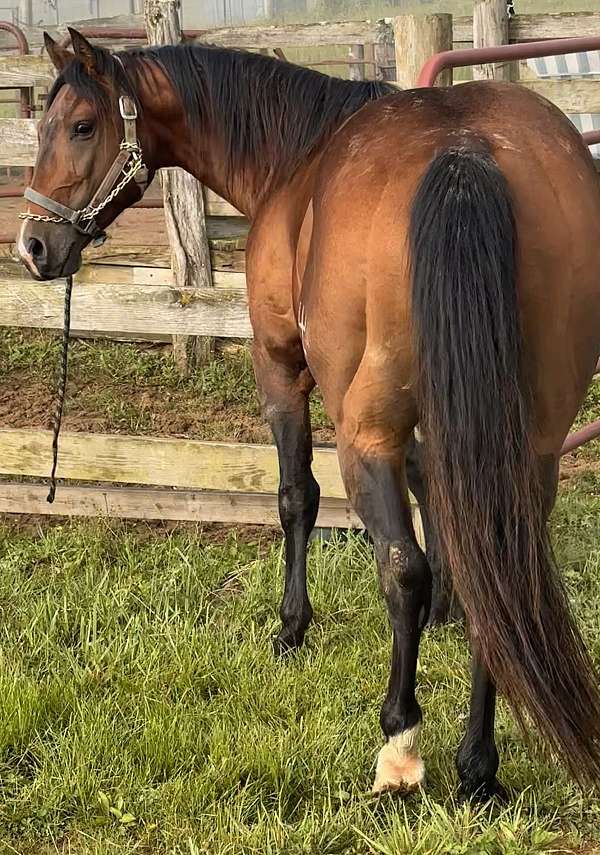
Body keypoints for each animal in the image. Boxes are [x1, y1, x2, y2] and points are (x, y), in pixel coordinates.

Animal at [18, 28, 600, 800]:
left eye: (82, 126)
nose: (32, 246)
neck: (295, 157)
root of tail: (464, 150)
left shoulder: (280, 368)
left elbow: (297, 496)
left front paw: (291, 628)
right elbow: (436, 491)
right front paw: (449, 608)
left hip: (363, 432)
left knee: (399, 566)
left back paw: (401, 747)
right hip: (532, 443)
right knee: (503, 560)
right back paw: (478, 765)